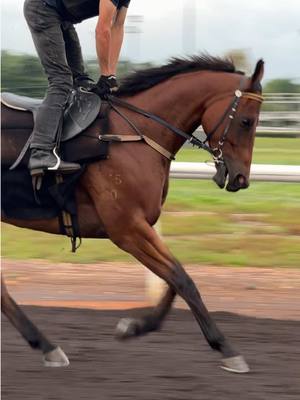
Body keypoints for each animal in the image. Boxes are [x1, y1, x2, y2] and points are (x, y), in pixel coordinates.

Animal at [0, 55, 264, 372]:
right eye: (247, 121)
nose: (241, 178)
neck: (134, 134)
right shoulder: (127, 228)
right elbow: (182, 279)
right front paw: (225, 347)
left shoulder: (141, 226)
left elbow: (175, 278)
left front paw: (136, 326)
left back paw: (47, 346)